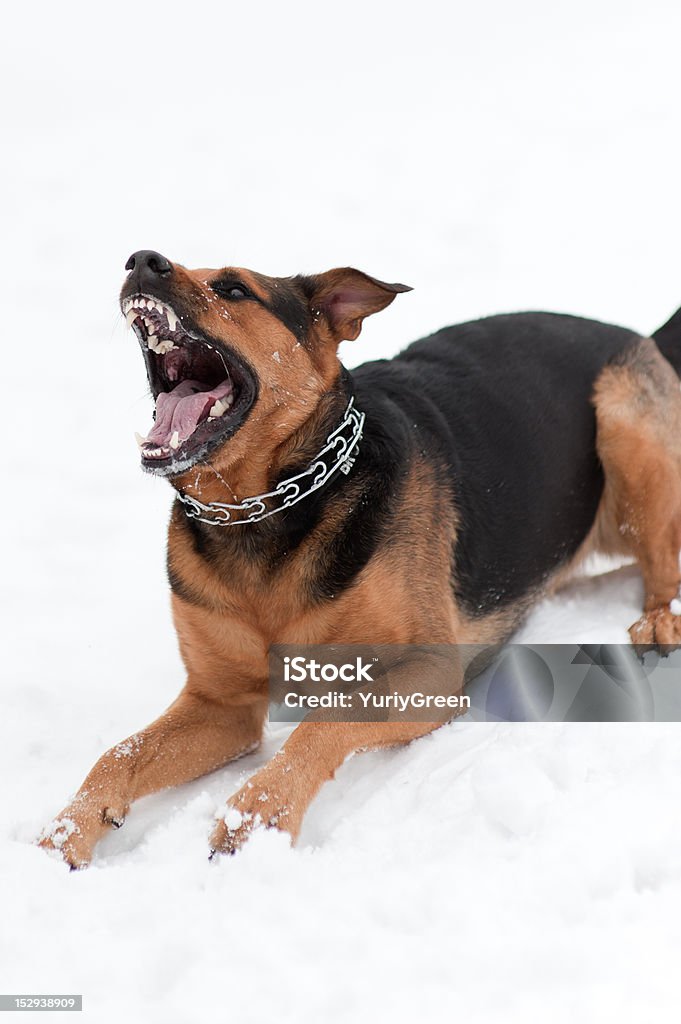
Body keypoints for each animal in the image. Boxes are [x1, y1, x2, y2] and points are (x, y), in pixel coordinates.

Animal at [38, 247, 681, 864]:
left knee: (662, 556)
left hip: (625, 425)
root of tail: (642, 337)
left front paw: (259, 813)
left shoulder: (427, 672)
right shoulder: (221, 704)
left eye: (234, 289)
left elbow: (326, 719)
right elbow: (119, 754)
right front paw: (63, 835)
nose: (141, 260)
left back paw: (658, 619)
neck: (261, 512)